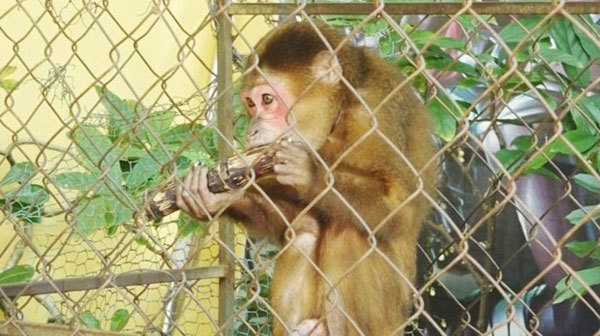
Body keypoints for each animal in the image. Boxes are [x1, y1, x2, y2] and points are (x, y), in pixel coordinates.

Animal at [176, 21, 438, 336]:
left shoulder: (372, 111)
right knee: (304, 231)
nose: (251, 130)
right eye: (250, 104)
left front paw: (309, 174)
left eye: (267, 100)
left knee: (347, 230)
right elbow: (289, 221)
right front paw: (215, 198)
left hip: (387, 319)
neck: (341, 109)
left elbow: (401, 206)